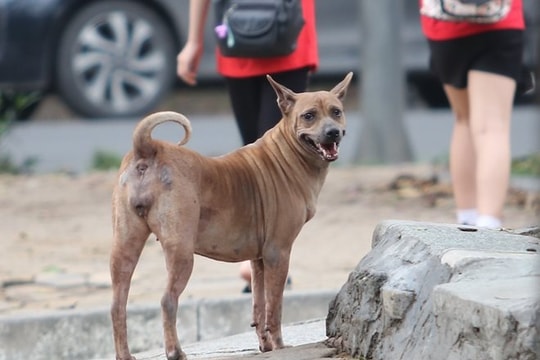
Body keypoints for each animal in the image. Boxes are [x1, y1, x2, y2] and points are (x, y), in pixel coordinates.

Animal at [110, 71, 354, 358]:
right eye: (308, 115)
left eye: (336, 111)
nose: (332, 132)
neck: (287, 155)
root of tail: (148, 148)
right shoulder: (278, 253)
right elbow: (275, 308)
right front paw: (280, 345)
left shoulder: (259, 259)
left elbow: (259, 305)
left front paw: (265, 345)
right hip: (181, 253)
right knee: (167, 301)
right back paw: (176, 352)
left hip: (124, 248)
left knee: (117, 306)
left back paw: (125, 355)